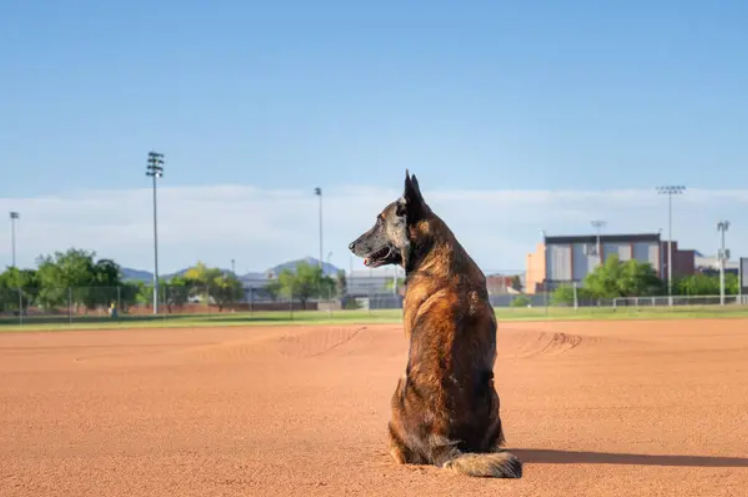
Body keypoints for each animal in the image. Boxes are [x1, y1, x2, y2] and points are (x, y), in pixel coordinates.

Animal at [350, 170, 520, 476]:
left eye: (379, 220)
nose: (350, 245)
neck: (434, 253)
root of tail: (443, 443)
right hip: (494, 393)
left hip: (398, 387)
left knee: (401, 452)